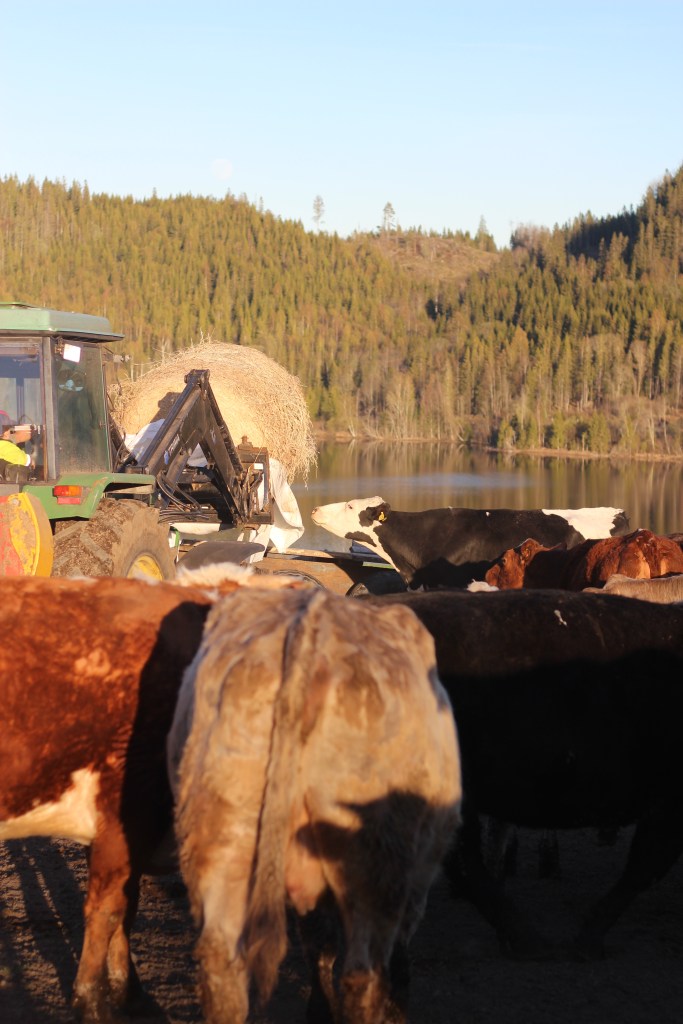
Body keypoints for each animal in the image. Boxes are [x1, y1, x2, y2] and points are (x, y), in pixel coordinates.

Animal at [168, 586, 461, 1024]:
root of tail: (314, 620)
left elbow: (317, 943)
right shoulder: (419, 876)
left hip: (225, 834)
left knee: (222, 964)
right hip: (375, 860)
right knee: (363, 974)